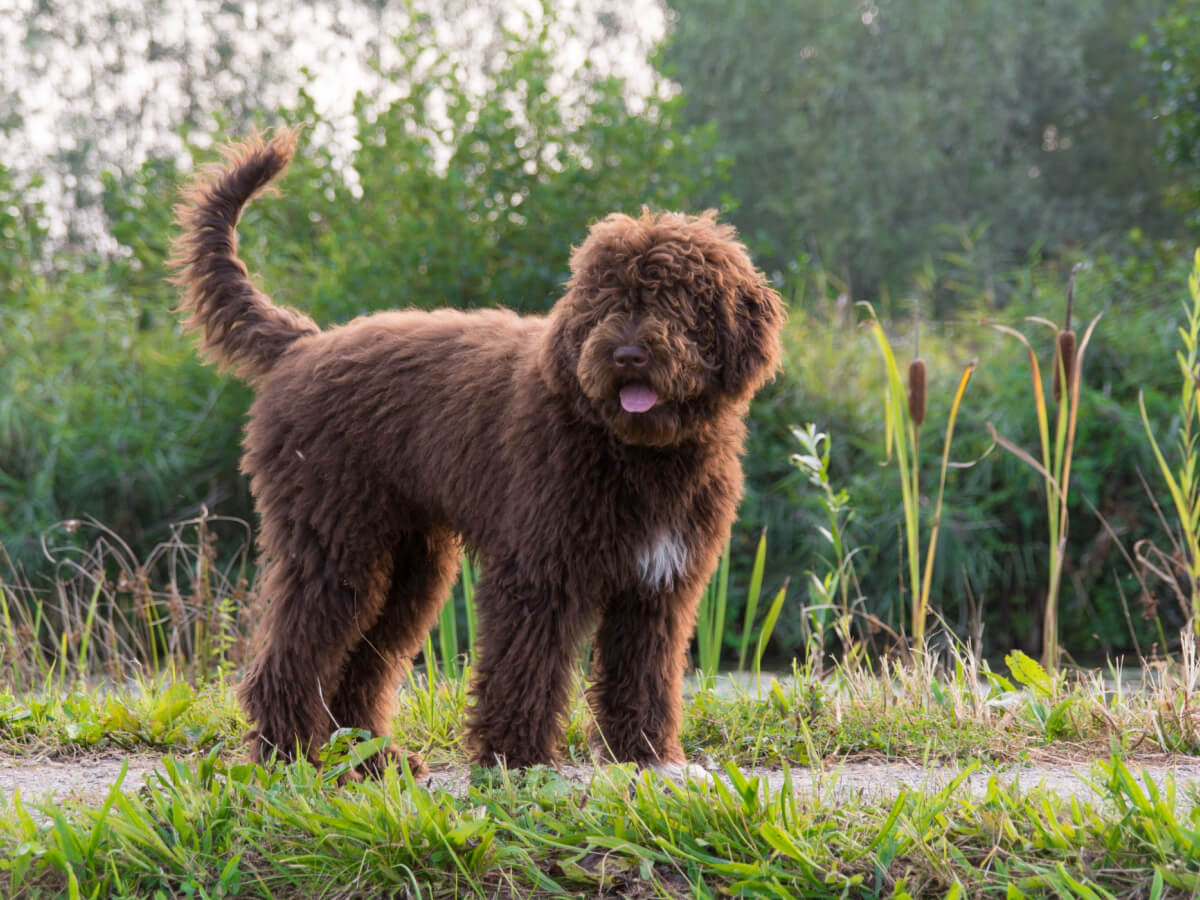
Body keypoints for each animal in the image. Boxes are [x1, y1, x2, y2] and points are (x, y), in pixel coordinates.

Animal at [171, 130, 787, 777]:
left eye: (674, 299)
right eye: (603, 301)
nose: (626, 354)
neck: (633, 450)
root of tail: (303, 344)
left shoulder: (657, 584)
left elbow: (644, 673)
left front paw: (647, 756)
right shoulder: (540, 568)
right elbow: (526, 664)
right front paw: (518, 759)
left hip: (408, 563)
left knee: (364, 660)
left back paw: (374, 759)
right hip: (334, 543)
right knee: (294, 652)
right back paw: (285, 756)